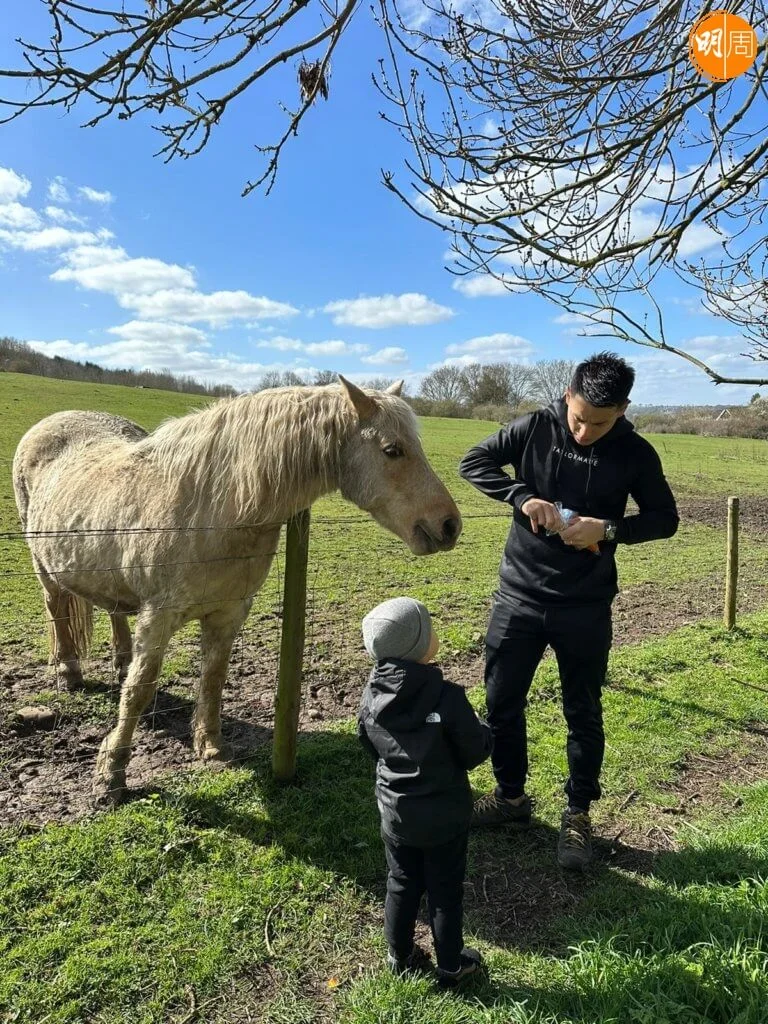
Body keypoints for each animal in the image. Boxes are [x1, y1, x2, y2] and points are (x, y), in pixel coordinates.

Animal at [12, 377, 462, 806]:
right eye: (392, 450)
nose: (449, 525)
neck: (213, 509)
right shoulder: (158, 617)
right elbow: (140, 691)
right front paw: (111, 776)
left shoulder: (228, 614)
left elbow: (213, 678)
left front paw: (210, 747)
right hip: (43, 565)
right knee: (56, 608)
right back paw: (68, 671)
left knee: (114, 612)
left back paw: (119, 662)